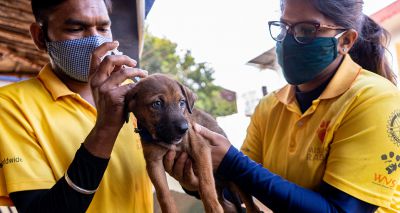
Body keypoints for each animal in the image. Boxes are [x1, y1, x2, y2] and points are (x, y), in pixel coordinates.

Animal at [126, 74, 260, 213]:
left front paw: (212, 208)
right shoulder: (154, 162)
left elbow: (206, 184)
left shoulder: (200, 148)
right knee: (230, 206)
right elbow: (163, 194)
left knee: (250, 205)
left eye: (182, 102)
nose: (184, 128)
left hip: (236, 179)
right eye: (157, 104)